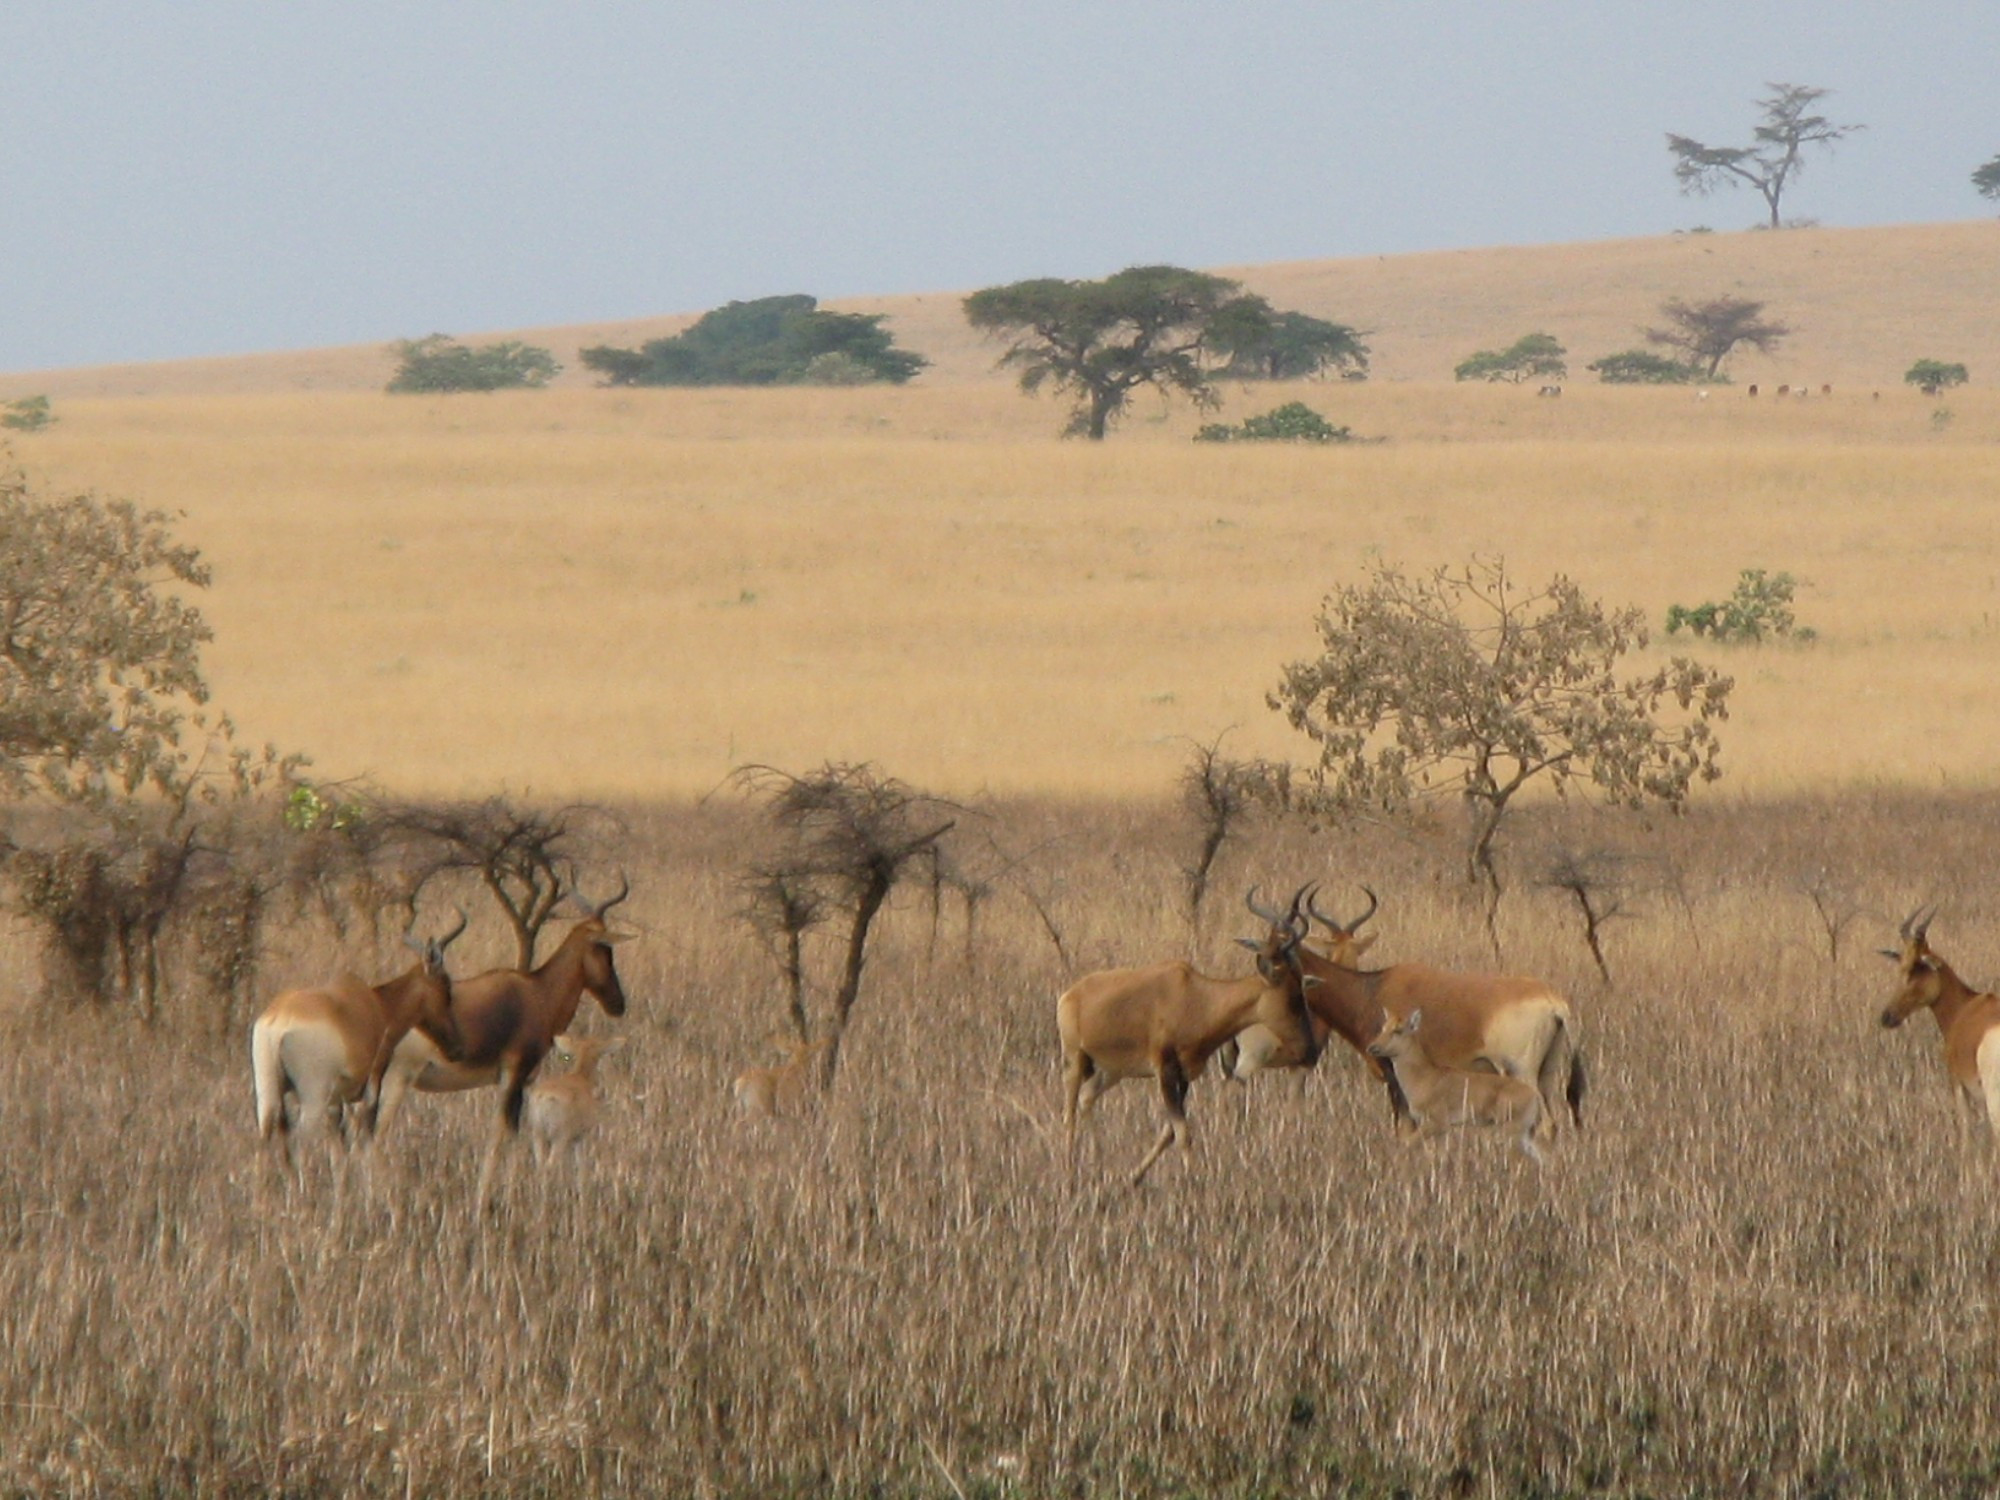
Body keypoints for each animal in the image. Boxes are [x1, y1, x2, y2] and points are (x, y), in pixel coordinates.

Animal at [248, 912, 466, 1168]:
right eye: (447, 987)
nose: (457, 1049)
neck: (377, 1005)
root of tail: (278, 1021)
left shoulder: (336, 1101)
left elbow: (339, 1146)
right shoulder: (370, 1087)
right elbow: (366, 1133)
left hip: (268, 1093)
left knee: (264, 1143)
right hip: (313, 1097)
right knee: (299, 1141)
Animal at [1056, 888, 1320, 1192]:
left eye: (1303, 985)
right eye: (1293, 997)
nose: (1310, 1051)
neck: (1195, 996)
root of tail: (1070, 994)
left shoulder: (1185, 1076)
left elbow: (1170, 1133)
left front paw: (1133, 1178)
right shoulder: (1165, 1071)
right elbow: (1183, 1132)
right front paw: (1192, 1184)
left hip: (1113, 1069)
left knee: (1087, 1097)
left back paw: (1099, 1166)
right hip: (1075, 1059)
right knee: (1069, 1113)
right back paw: (1069, 1175)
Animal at [1224, 880, 1584, 1136]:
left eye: (1285, 955)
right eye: (1262, 953)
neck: (1373, 988)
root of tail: (1554, 1002)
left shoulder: (1393, 1073)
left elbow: (1404, 1125)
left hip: (1520, 1071)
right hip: (1547, 1071)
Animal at [1360, 1016, 1544, 1168]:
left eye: (1398, 1030)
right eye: (1384, 1027)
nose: (1372, 1047)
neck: (1425, 1076)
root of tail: (1534, 1095)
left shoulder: (1436, 1123)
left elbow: (1405, 1144)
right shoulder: (1443, 1131)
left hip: (1511, 1132)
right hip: (1523, 1134)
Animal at [1872, 904, 2000, 1152]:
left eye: (1917, 967)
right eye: (1902, 966)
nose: (1887, 1017)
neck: (1966, 1006)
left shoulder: (1959, 1085)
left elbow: (1966, 1136)